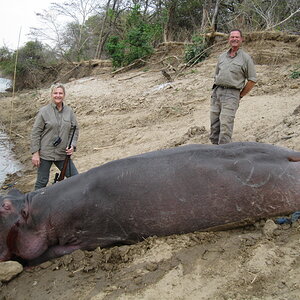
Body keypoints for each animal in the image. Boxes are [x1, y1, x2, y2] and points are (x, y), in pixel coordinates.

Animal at [0, 142, 300, 264]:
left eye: (4, 206)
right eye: (8, 193)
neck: (37, 209)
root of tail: (291, 154)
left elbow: (43, 255)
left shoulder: (90, 237)